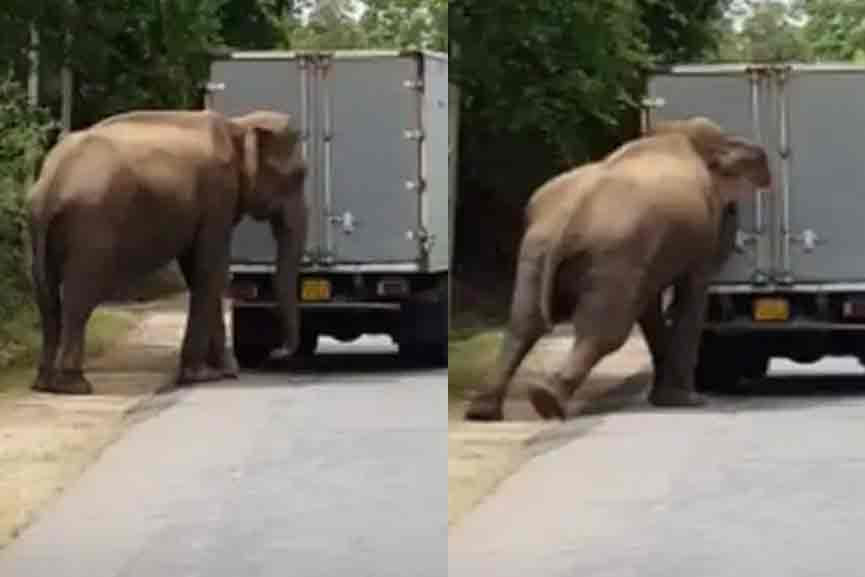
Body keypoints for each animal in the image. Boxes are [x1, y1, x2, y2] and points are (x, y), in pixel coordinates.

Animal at [27, 109, 308, 395]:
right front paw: (202, 376)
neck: (238, 125)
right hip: (90, 226)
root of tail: (52, 183)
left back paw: (44, 383)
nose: (282, 351)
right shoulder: (218, 195)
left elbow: (198, 272)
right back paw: (74, 385)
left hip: (39, 227)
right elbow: (210, 272)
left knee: (46, 298)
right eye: (299, 175)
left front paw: (226, 372)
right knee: (79, 296)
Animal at [464, 117, 772, 421]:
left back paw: (484, 411)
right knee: (603, 331)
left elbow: (650, 306)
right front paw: (688, 401)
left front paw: (667, 398)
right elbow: (690, 295)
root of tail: (568, 218)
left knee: (523, 323)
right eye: (731, 211)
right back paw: (547, 401)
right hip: (613, 252)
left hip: (537, 249)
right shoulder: (696, 238)